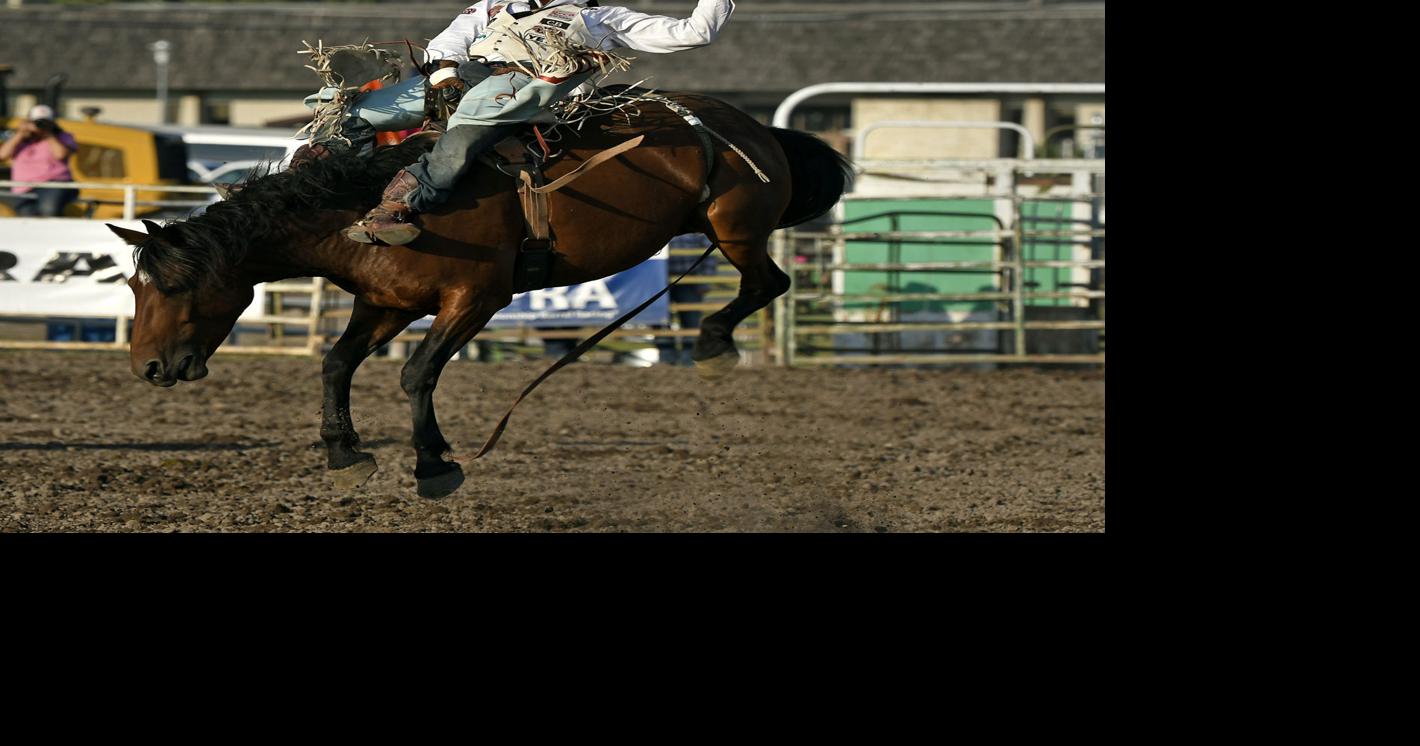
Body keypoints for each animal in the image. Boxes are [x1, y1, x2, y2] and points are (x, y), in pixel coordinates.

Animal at [107, 93, 852, 497]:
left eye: (175, 283)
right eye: (134, 285)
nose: (148, 367)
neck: (367, 208)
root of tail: (753, 126)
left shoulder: (475, 297)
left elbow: (417, 373)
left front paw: (434, 465)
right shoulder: (386, 304)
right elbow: (336, 363)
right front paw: (346, 454)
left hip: (735, 225)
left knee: (770, 281)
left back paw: (715, 345)